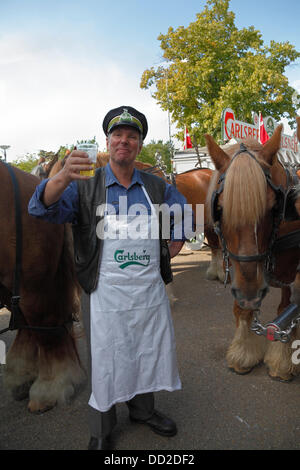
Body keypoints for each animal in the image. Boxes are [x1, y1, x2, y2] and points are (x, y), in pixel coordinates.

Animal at [205, 123, 300, 380]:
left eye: (274, 207)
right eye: (219, 208)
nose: (250, 295)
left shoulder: (290, 271)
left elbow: (287, 309)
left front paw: (282, 360)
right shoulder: (239, 274)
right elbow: (242, 310)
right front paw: (243, 351)